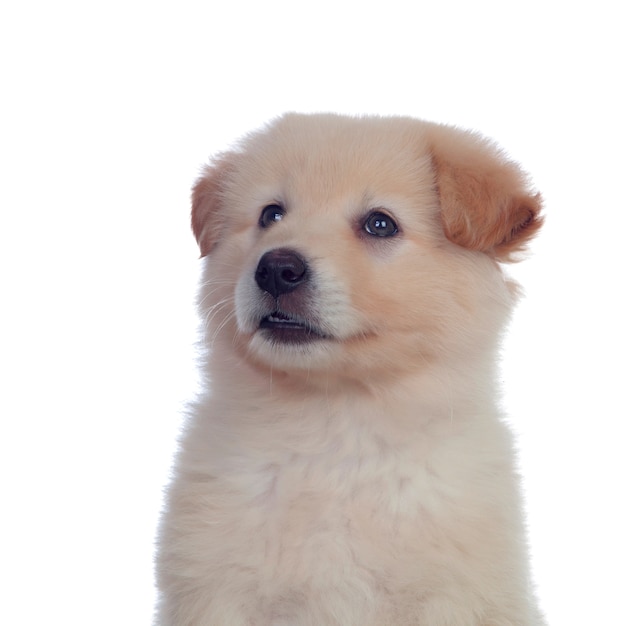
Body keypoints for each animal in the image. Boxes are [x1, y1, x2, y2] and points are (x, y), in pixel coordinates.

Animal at [155, 113, 540, 624]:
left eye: (379, 224)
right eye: (270, 215)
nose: (276, 269)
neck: (338, 422)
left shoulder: (454, 596)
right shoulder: (217, 588)